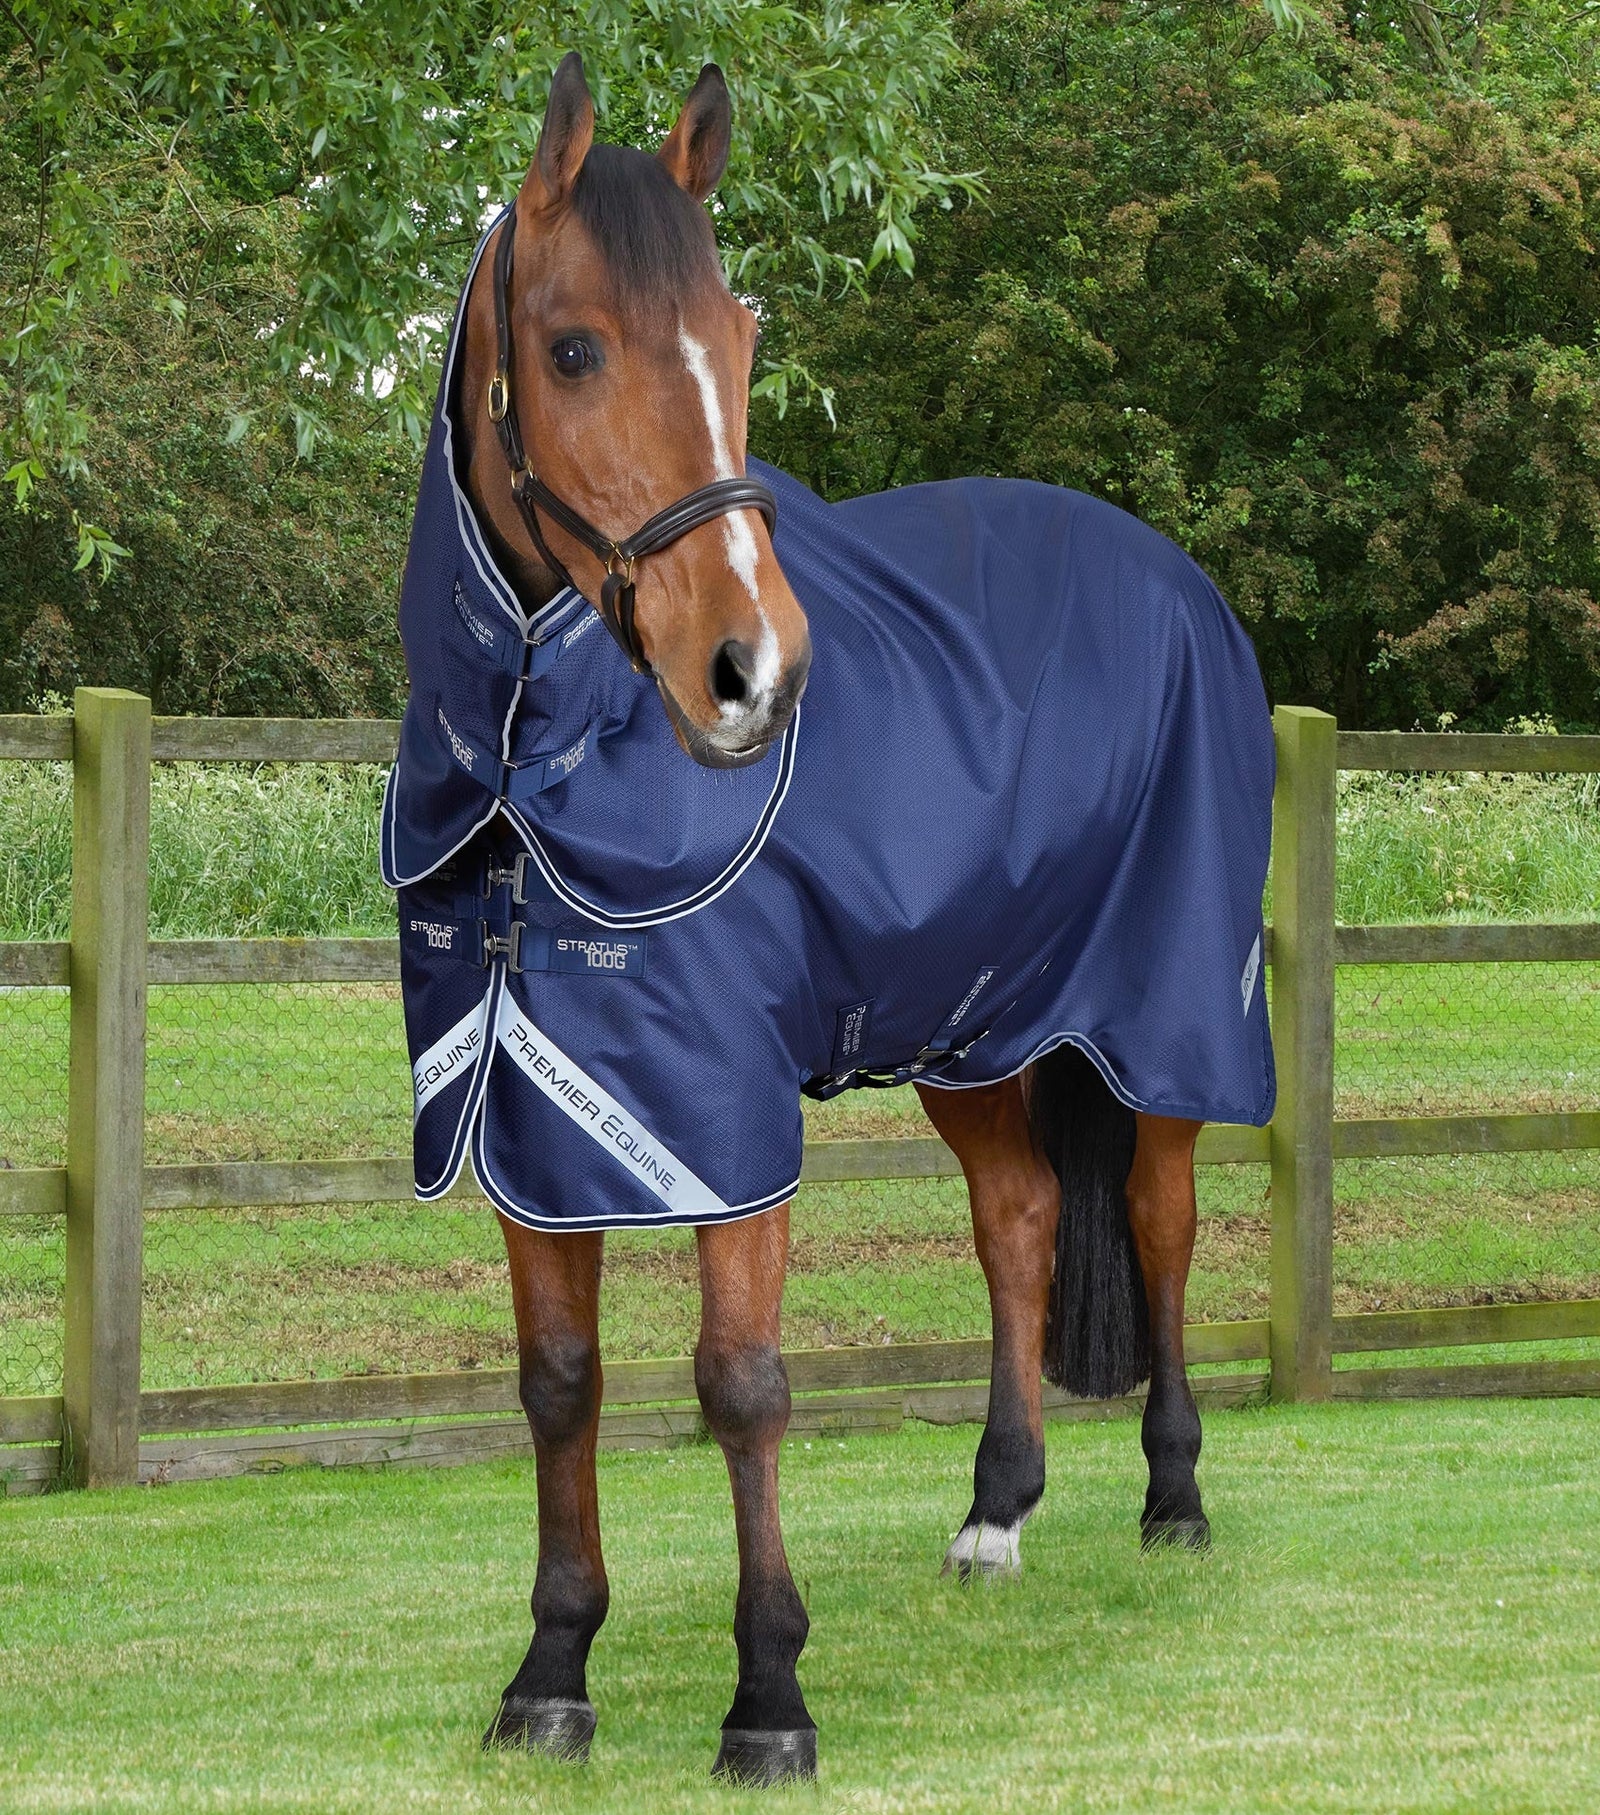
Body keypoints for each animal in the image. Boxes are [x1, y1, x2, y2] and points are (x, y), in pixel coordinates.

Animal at [384, 52, 1275, 1786]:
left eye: (739, 344)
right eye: (574, 346)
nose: (756, 672)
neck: (537, 767)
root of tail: (1179, 582)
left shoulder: (722, 1114)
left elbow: (740, 1384)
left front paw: (769, 1696)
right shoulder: (530, 1109)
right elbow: (559, 1384)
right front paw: (551, 1672)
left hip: (1163, 1022)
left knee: (1158, 1218)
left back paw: (1178, 1496)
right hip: (975, 1032)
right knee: (1019, 1220)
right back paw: (996, 1513)